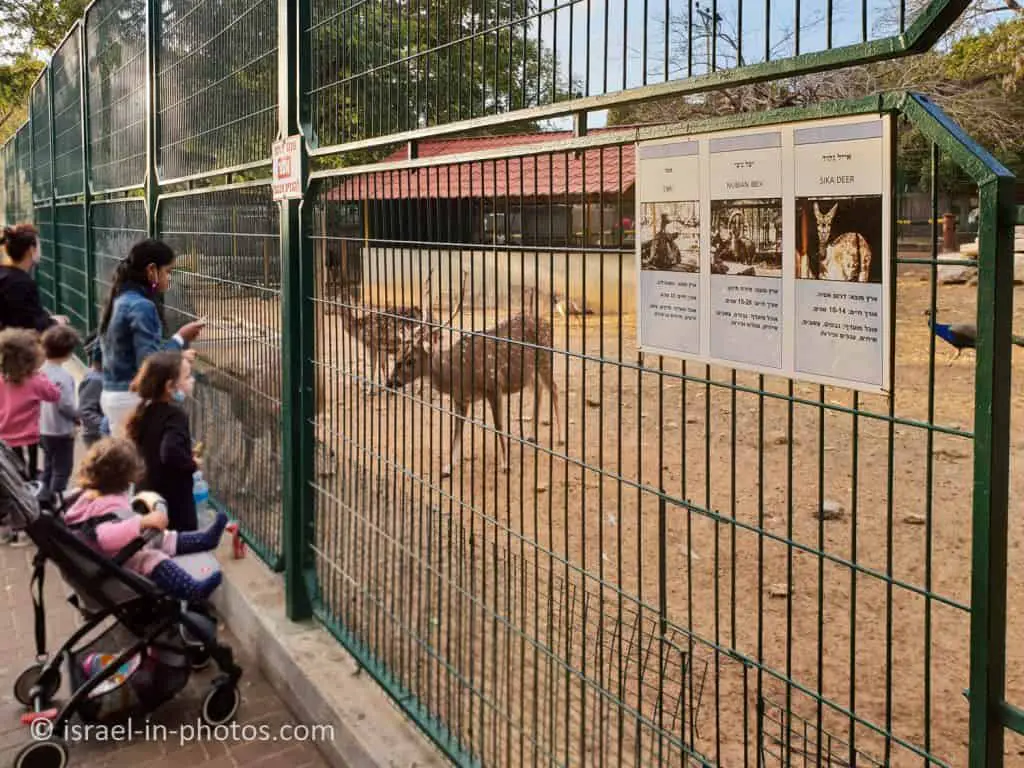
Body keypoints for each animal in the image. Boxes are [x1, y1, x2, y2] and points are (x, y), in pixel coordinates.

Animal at [387, 276, 573, 479]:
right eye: (397, 354)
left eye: (410, 360)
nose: (390, 381)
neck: (458, 374)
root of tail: (546, 322)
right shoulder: (461, 399)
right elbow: (457, 430)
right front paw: (447, 467)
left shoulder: (494, 385)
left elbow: (499, 425)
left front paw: (505, 464)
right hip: (530, 371)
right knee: (539, 390)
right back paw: (531, 435)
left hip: (546, 358)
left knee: (554, 388)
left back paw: (561, 438)